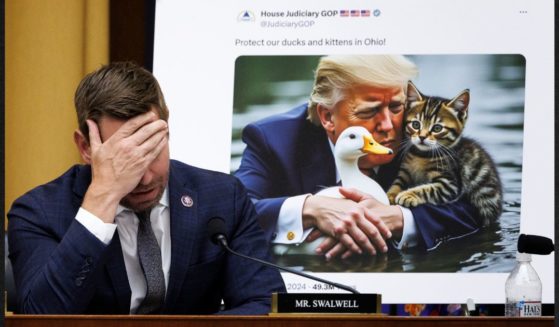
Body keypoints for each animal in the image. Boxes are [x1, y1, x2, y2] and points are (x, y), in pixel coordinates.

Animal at [390, 81, 504, 226]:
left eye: (437, 128)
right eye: (416, 125)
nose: (422, 137)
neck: (422, 155)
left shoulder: (450, 184)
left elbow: (428, 189)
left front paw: (408, 194)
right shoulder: (405, 171)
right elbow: (397, 182)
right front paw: (390, 194)